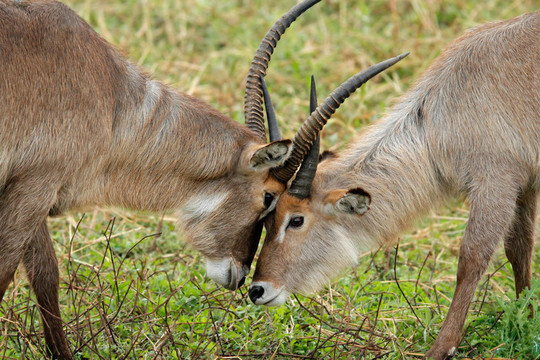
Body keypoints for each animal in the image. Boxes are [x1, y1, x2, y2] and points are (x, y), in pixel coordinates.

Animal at [0, 0, 404, 358]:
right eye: (269, 198)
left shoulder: (32, 190)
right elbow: (9, 273)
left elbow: (46, 277)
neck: (112, 98)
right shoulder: (35, 187)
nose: (242, 278)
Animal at [249, 9, 540, 358]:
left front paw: (441, 347)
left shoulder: (495, 181)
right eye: (267, 218)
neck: (434, 122)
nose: (257, 290)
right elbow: (519, 250)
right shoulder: (525, 185)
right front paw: (529, 322)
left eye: (296, 220)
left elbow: (472, 257)